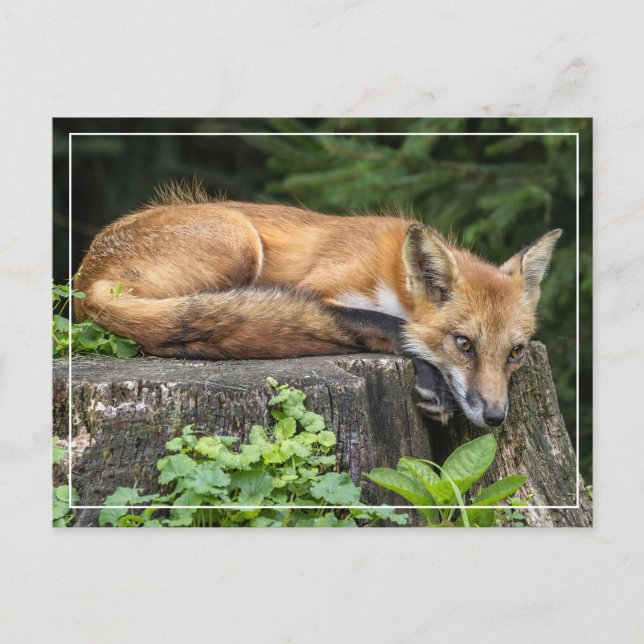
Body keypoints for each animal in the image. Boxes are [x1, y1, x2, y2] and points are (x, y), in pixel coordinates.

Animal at [74, 185, 561, 429]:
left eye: (515, 353)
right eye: (463, 344)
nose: (495, 418)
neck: (392, 278)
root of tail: (85, 277)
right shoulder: (321, 290)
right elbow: (395, 327)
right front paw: (431, 381)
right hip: (239, 240)